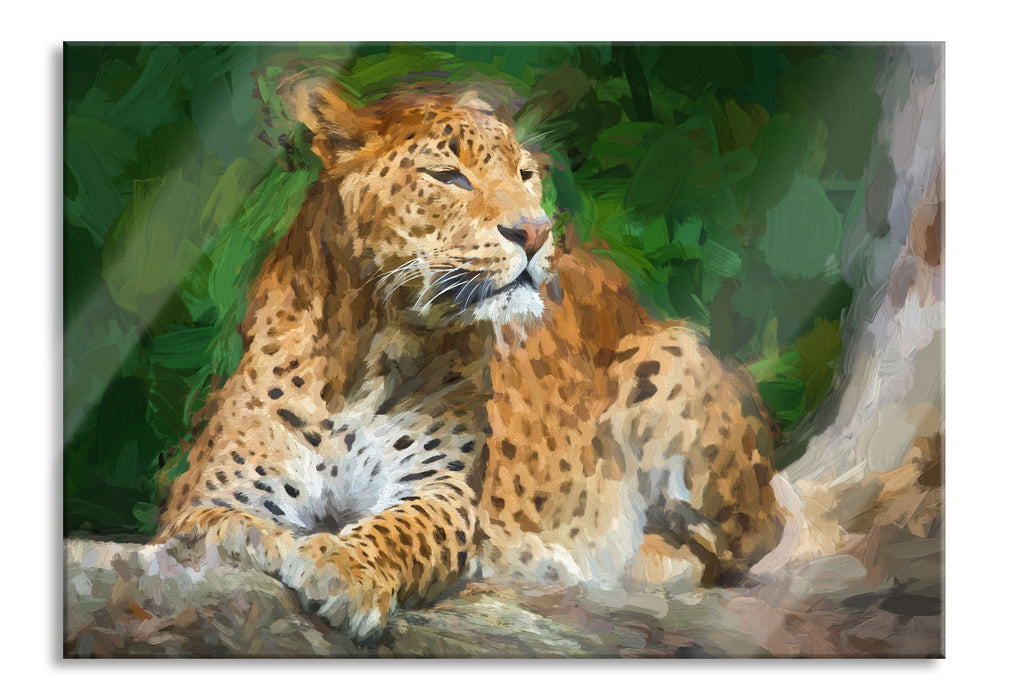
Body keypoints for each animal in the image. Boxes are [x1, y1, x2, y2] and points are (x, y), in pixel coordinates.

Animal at [152, 76, 787, 641]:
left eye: (525, 175)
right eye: (449, 176)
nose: (536, 232)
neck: (369, 347)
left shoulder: (442, 490)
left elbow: (399, 530)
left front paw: (343, 569)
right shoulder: (209, 493)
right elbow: (217, 528)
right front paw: (272, 543)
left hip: (669, 359)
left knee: (735, 546)